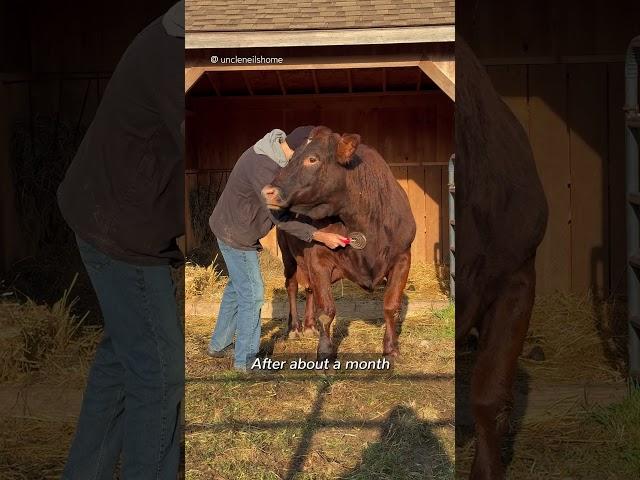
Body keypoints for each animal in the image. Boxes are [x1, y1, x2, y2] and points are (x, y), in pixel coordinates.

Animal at [260, 125, 416, 358]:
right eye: (290, 159)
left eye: (312, 159)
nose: (268, 191)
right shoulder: (318, 258)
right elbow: (326, 310)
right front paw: (325, 352)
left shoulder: (402, 257)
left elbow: (391, 306)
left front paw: (391, 348)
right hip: (288, 256)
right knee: (292, 286)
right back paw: (294, 328)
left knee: (309, 289)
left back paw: (309, 326)